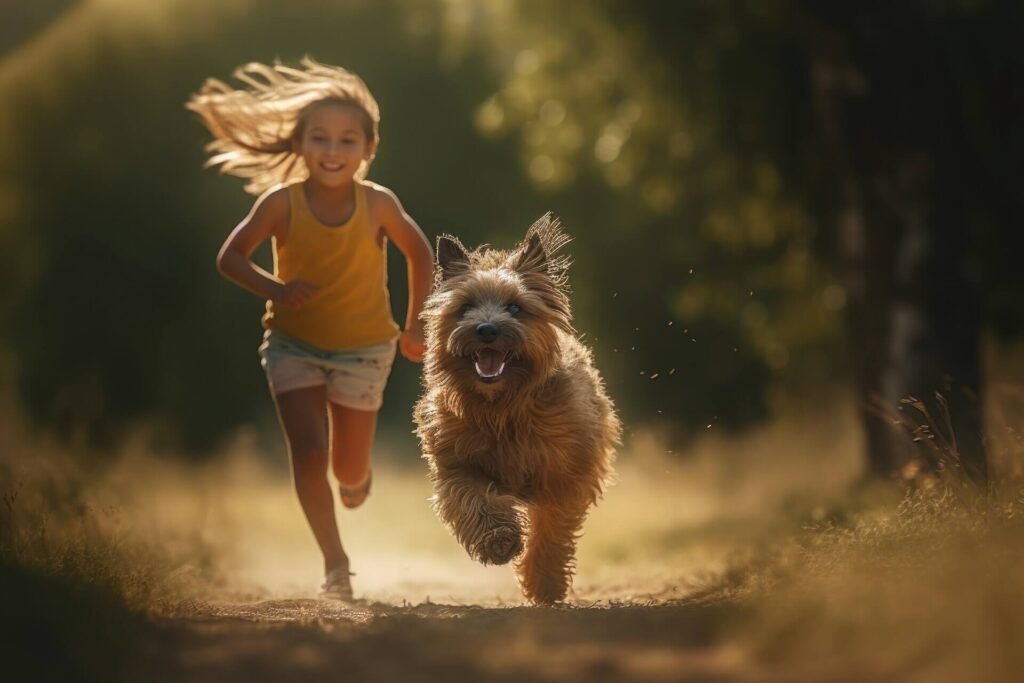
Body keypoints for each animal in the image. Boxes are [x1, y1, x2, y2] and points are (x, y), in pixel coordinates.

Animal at [411, 211, 618, 602]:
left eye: (515, 308)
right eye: (465, 307)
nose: (486, 329)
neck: (503, 407)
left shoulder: (564, 475)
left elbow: (551, 530)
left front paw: (545, 583)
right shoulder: (457, 465)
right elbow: (474, 501)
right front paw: (499, 540)